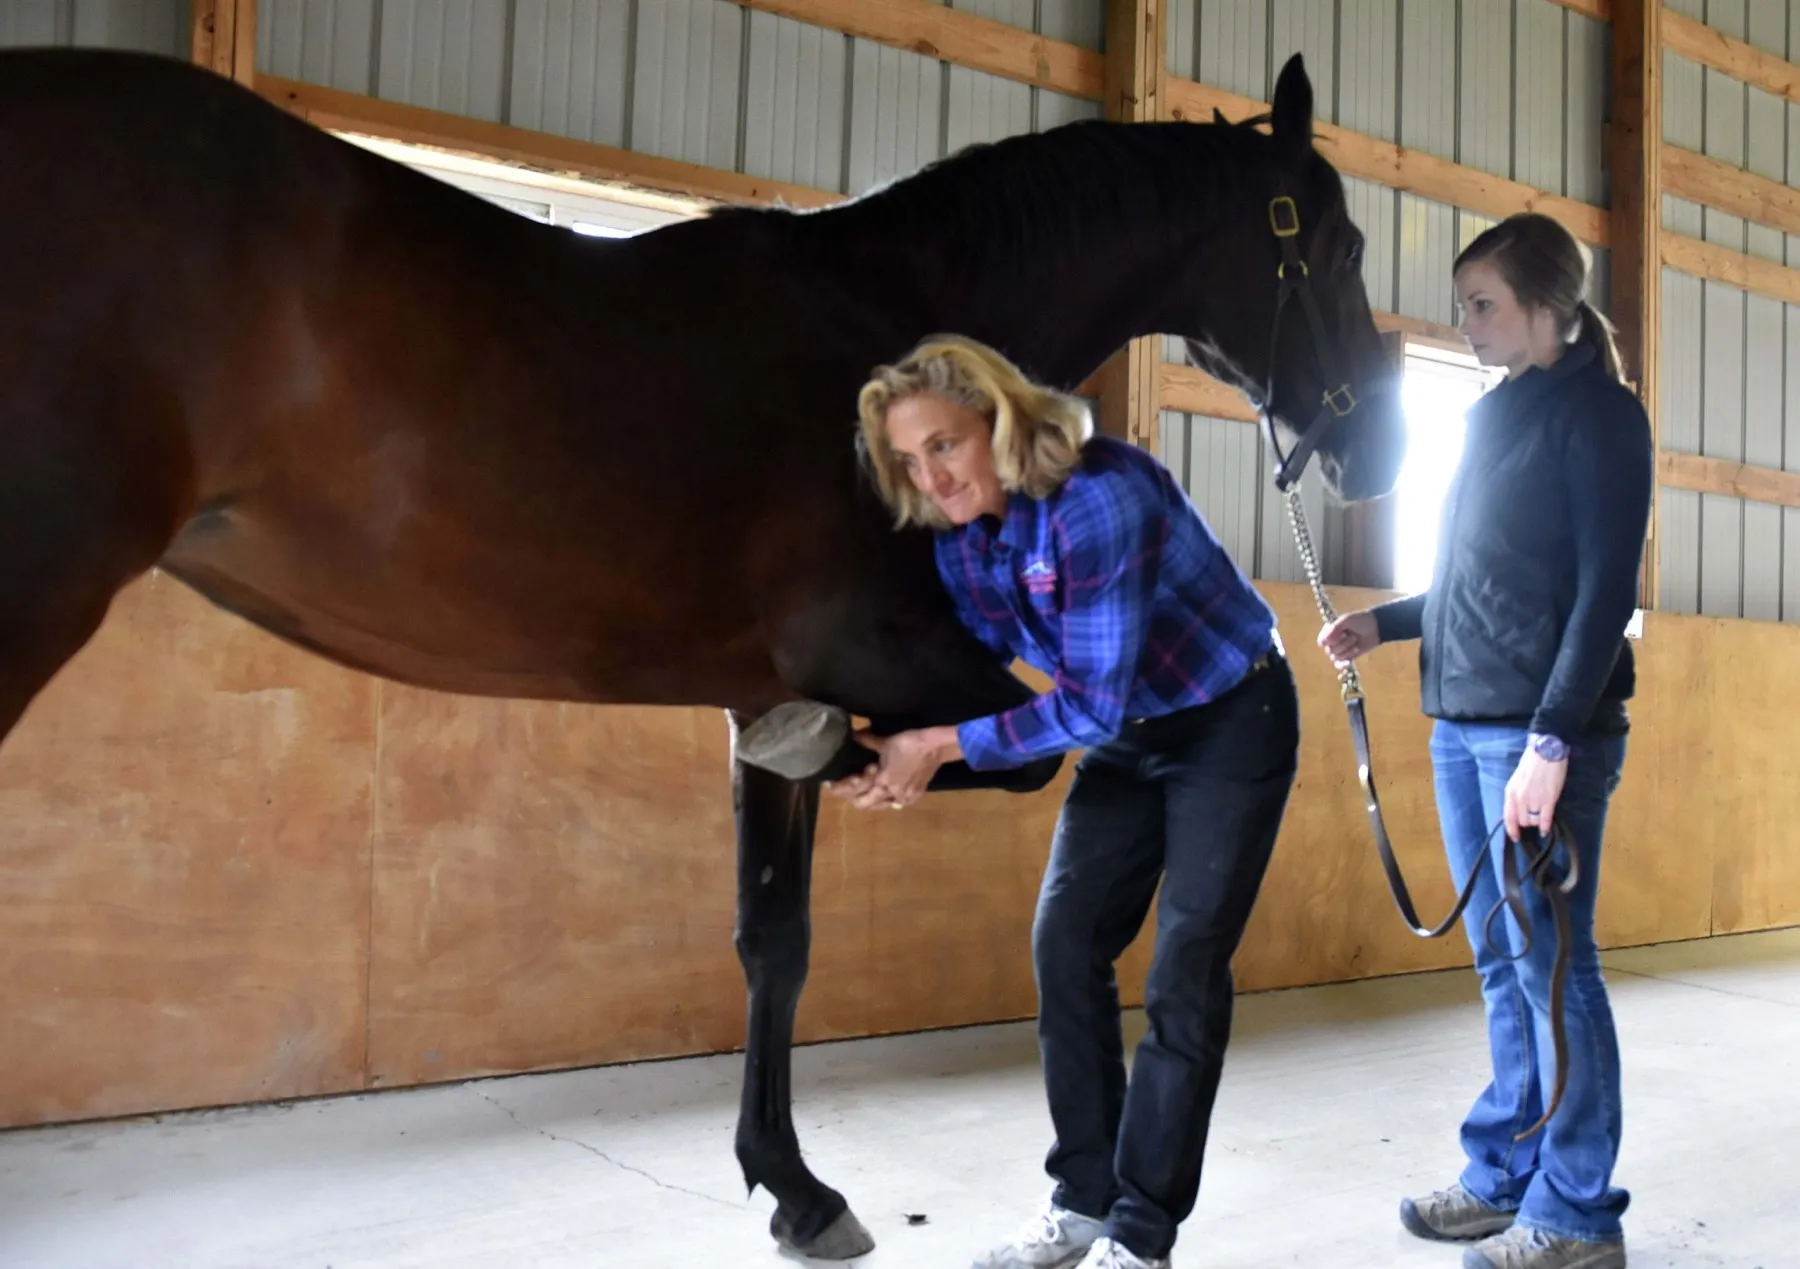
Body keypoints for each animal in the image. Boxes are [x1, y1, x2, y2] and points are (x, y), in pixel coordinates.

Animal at [0, 46, 1404, 1259]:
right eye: (1338, 246)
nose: (1380, 449)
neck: (876, 327)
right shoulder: (867, 655)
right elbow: (1005, 757)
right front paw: (854, 762)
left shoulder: (769, 689)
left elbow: (773, 939)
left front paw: (793, 1188)